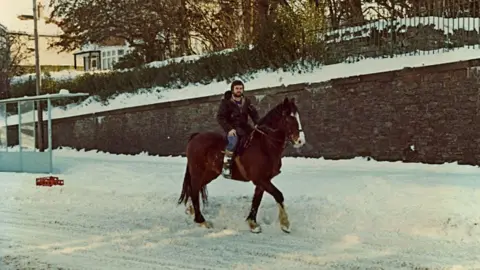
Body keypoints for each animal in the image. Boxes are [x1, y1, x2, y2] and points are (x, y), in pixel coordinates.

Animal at [177, 96, 308, 232]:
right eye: (288, 118)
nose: (301, 141)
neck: (264, 145)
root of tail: (196, 136)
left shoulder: (263, 181)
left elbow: (257, 200)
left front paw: (252, 223)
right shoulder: (260, 179)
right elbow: (278, 195)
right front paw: (285, 223)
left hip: (209, 173)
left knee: (195, 189)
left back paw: (191, 210)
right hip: (198, 172)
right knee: (194, 189)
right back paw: (201, 220)